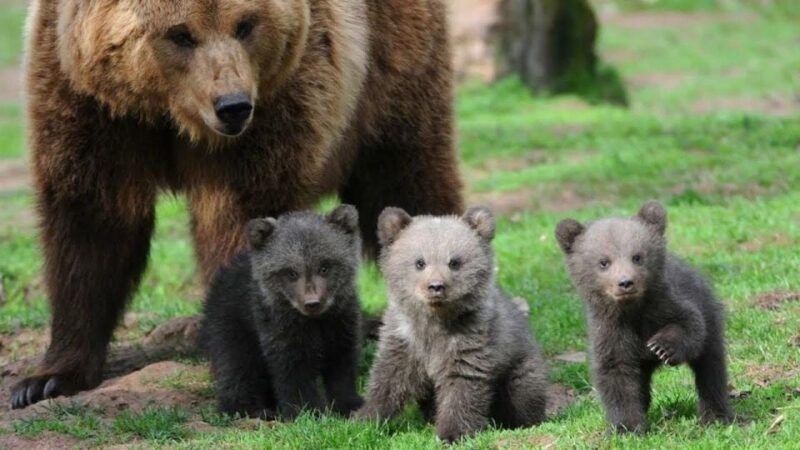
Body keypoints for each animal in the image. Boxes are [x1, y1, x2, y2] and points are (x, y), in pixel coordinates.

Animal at [199, 205, 363, 420]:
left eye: (324, 266)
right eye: (291, 272)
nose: (312, 303)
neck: (314, 322)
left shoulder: (341, 322)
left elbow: (341, 365)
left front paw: (349, 403)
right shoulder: (278, 327)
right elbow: (292, 371)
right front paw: (306, 410)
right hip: (230, 321)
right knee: (236, 366)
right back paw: (249, 408)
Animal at [355, 207, 548, 443]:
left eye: (454, 262)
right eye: (420, 262)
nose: (436, 286)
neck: (434, 322)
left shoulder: (468, 343)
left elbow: (462, 387)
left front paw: (452, 433)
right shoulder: (404, 341)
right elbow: (388, 380)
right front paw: (365, 419)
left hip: (519, 365)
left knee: (523, 394)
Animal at [554, 200, 733, 433]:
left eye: (637, 256)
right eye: (604, 262)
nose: (625, 282)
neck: (631, 312)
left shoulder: (667, 306)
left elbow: (689, 325)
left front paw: (661, 347)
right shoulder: (610, 331)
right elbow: (616, 374)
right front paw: (627, 426)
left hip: (709, 313)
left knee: (711, 369)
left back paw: (715, 415)